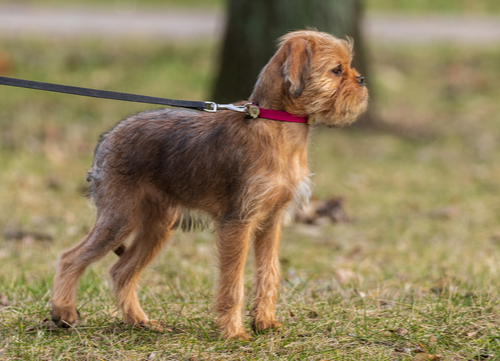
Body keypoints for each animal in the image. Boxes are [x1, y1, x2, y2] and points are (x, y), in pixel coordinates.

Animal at [50, 29, 370, 338]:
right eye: (337, 70)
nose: (362, 79)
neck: (275, 124)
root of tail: (108, 137)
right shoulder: (237, 223)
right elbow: (232, 282)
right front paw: (234, 332)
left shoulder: (271, 222)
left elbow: (269, 273)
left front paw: (265, 323)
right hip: (120, 217)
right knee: (70, 258)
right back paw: (63, 312)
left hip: (158, 226)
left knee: (121, 271)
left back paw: (140, 321)